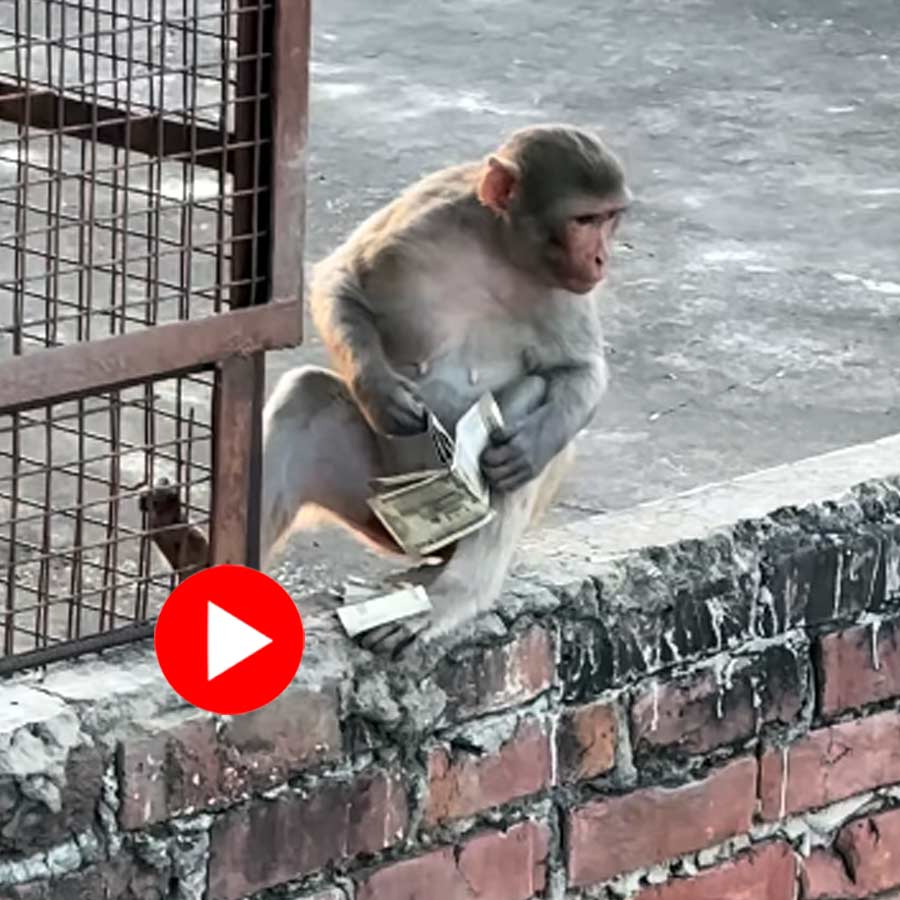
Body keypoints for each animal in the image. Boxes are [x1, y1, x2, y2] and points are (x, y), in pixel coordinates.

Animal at [143, 123, 631, 658]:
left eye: (608, 218)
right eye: (585, 219)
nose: (601, 258)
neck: (500, 248)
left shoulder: (565, 288)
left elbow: (580, 372)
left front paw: (526, 449)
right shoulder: (425, 215)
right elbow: (341, 281)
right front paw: (380, 392)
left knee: (524, 404)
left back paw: (452, 594)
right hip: (371, 499)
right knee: (305, 396)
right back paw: (196, 559)